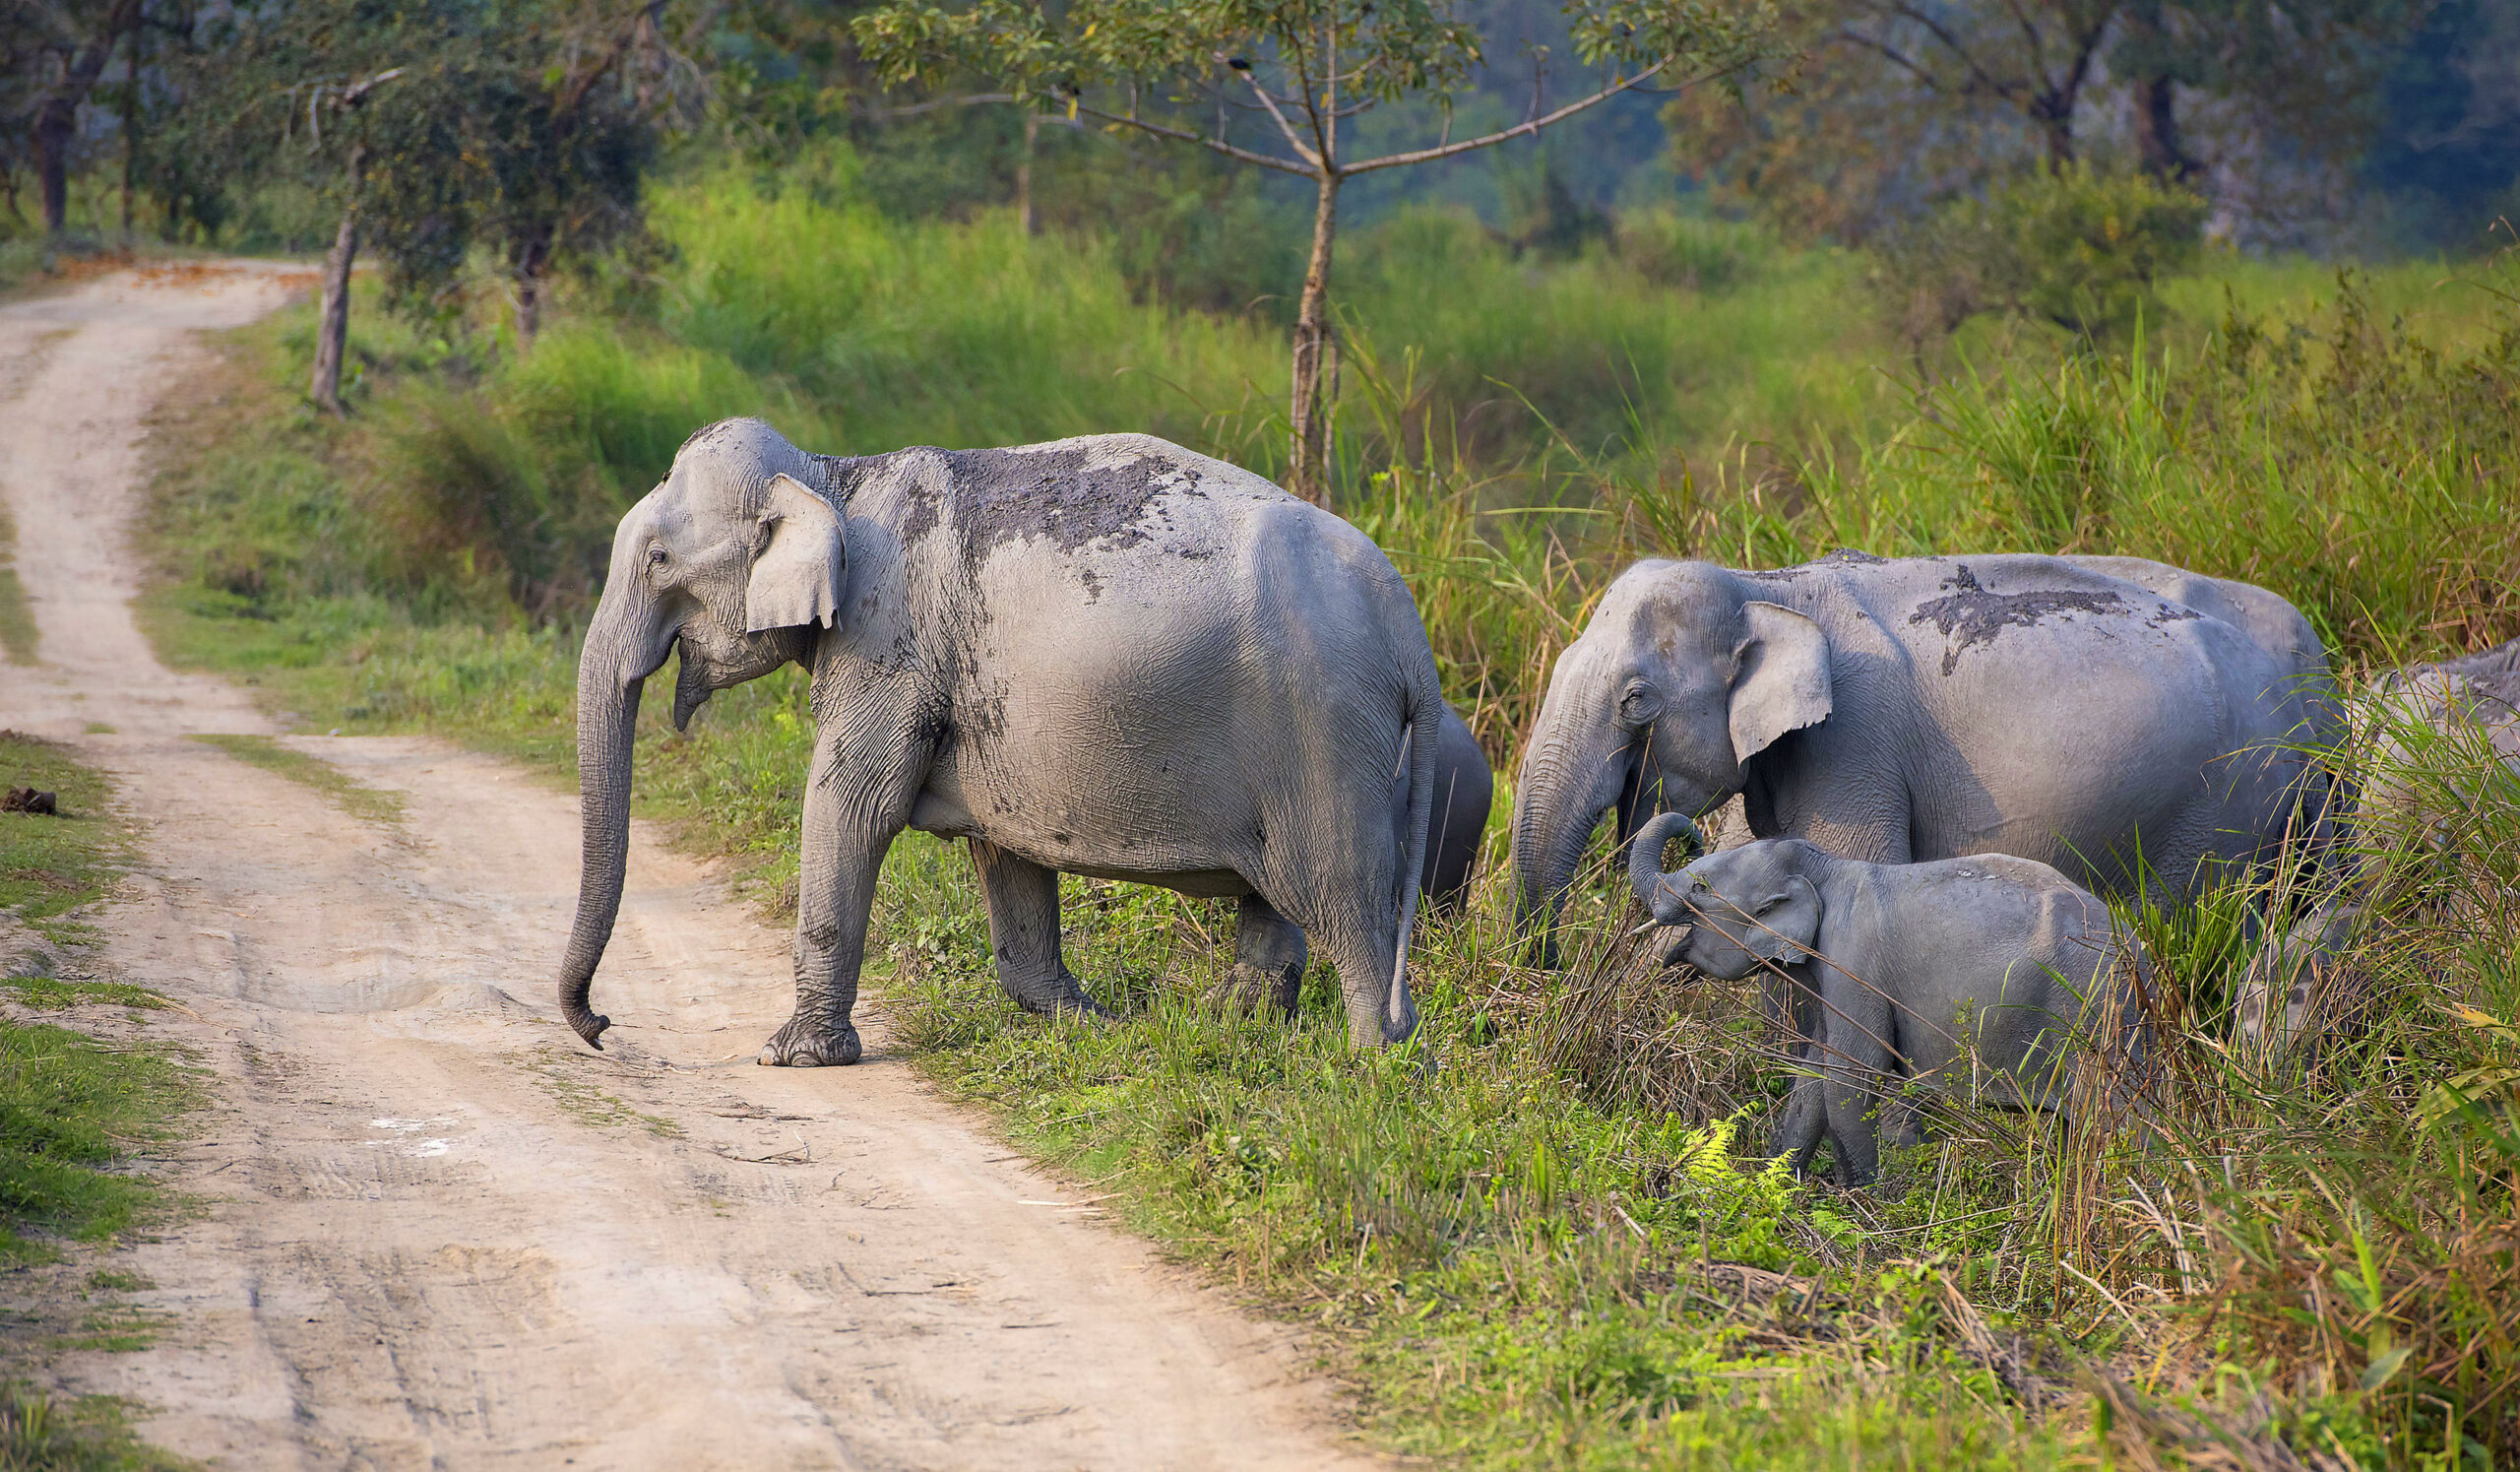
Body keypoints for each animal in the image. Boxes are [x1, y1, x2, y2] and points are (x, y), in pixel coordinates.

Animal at [559, 420, 1451, 1063]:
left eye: (659, 557)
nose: (603, 1027)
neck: (833, 474)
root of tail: (1410, 627)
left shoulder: (888, 641)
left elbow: (851, 804)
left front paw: (793, 1056)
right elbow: (1003, 847)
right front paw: (1096, 1022)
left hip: (1325, 734)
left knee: (1341, 897)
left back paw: (1372, 1062)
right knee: (1279, 900)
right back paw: (1232, 1025)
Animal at [1632, 811, 2147, 1189]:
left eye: (1700, 889)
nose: (1694, 837)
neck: (1826, 868)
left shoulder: (1854, 962)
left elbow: (1851, 1076)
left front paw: (1863, 1200)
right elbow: (1816, 1075)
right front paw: (1773, 1183)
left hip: (2100, 1021)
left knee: (2128, 1121)